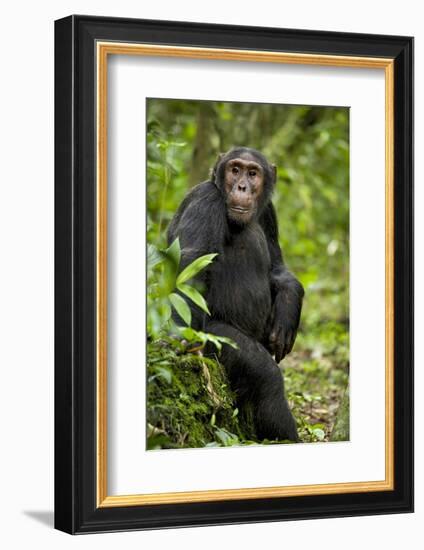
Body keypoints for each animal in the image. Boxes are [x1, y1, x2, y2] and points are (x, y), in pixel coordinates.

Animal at [167, 148, 304, 444]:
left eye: (252, 173)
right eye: (235, 170)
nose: (241, 186)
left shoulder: (269, 212)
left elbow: (277, 266)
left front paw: (288, 312)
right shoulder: (206, 200)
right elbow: (191, 267)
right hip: (214, 337)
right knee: (267, 379)